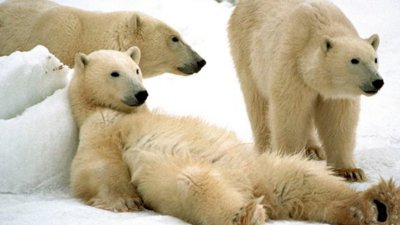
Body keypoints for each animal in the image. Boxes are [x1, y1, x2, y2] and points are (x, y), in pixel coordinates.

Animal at [69, 47, 400, 225]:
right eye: (114, 72)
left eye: (136, 69)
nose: (141, 93)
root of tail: (254, 189)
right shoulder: (101, 125)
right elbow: (95, 165)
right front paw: (126, 202)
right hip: (189, 175)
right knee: (196, 183)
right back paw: (248, 214)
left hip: (262, 167)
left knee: (304, 179)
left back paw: (379, 203)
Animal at [227, 0, 382, 182]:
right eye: (354, 60)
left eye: (375, 59)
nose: (377, 81)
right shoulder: (292, 65)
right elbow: (290, 112)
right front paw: (289, 162)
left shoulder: (336, 93)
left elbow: (339, 120)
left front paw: (350, 171)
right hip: (247, 52)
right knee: (257, 103)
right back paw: (266, 148)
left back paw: (313, 149)